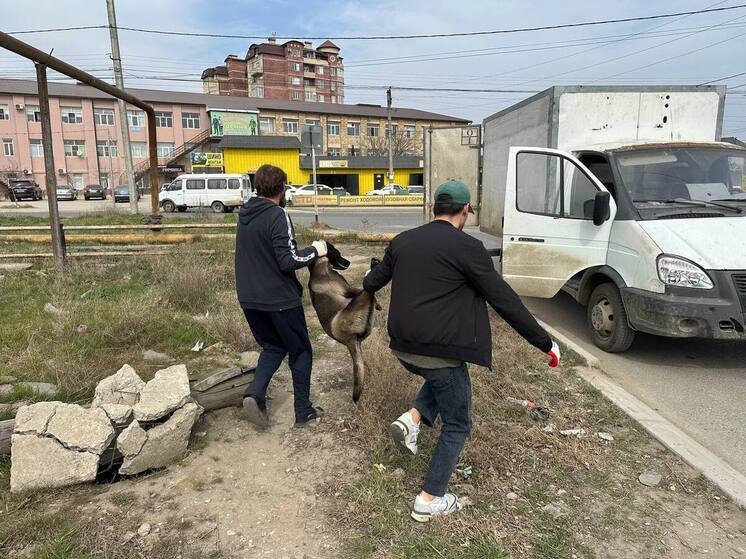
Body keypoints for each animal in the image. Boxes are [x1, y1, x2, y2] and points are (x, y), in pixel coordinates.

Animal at [306, 243, 378, 400]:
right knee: (367, 290)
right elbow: (359, 289)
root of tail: (348, 340)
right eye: (337, 253)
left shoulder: (349, 289)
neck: (316, 265)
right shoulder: (348, 290)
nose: (349, 262)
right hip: (356, 304)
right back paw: (373, 266)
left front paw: (379, 305)